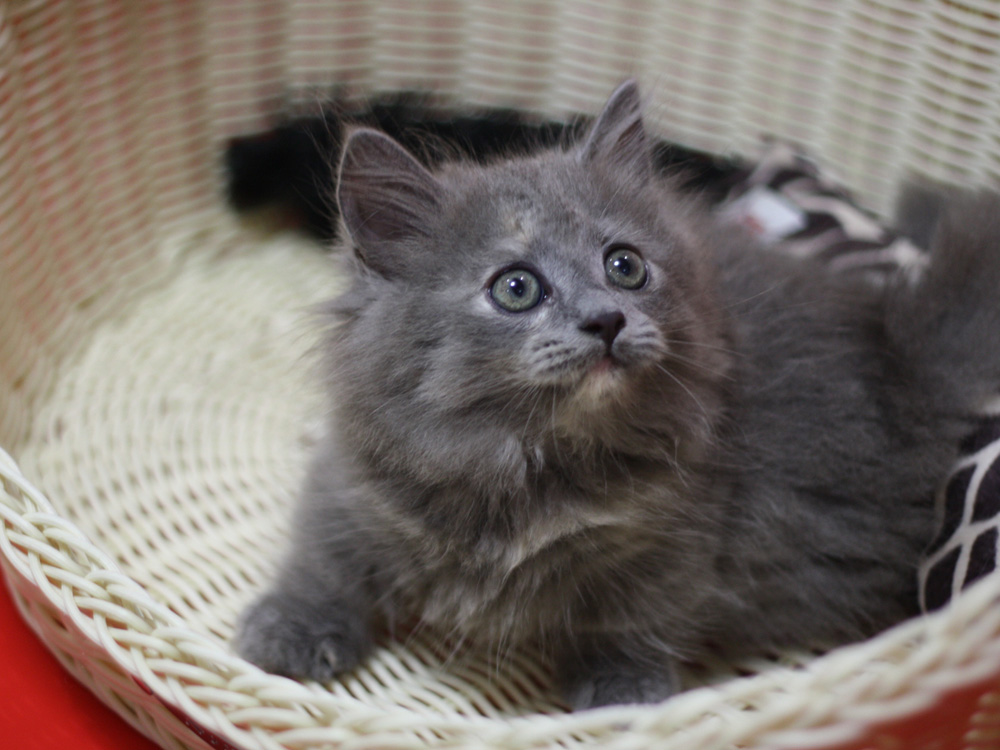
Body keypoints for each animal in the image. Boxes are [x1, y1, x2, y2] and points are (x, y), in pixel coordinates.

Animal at [236, 82, 1000, 712]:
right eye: (516, 287)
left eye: (625, 266)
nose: (606, 320)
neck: (524, 457)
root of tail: (896, 344)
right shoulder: (355, 480)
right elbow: (322, 555)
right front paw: (286, 630)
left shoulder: (678, 532)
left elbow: (632, 614)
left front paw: (621, 688)